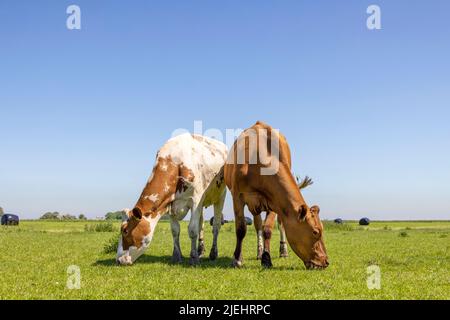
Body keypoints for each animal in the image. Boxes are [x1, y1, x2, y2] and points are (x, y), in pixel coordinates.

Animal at [117, 134, 229, 266]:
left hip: (220, 196)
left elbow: (192, 230)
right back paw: (200, 251)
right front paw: (177, 256)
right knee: (201, 224)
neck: (175, 162)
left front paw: (193, 258)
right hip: (202, 204)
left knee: (216, 225)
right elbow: (175, 230)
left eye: (125, 231)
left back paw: (213, 254)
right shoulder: (170, 203)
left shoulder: (195, 200)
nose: (118, 260)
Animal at [224, 121, 326, 268]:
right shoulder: (237, 196)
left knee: (278, 224)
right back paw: (259, 251)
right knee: (257, 225)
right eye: (315, 232)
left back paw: (282, 251)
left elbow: (268, 229)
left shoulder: (274, 200)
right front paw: (237, 258)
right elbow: (241, 229)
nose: (325, 261)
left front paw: (266, 258)